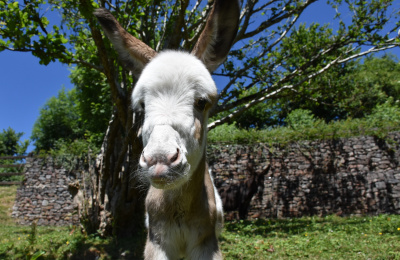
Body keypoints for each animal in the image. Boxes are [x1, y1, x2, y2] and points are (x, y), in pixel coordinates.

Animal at [95, 1, 239, 258]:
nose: (160, 160)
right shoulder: (156, 242)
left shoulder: (207, 243)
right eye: (142, 106)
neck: (178, 210)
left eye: (202, 102)